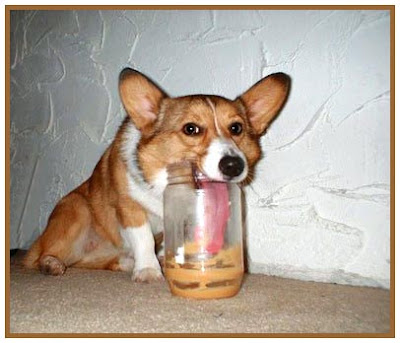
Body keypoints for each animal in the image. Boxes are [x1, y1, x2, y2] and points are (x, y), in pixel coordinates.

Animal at [23, 68, 290, 284]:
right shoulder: (129, 208)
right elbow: (144, 239)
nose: (234, 166)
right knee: (41, 258)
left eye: (236, 128)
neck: (166, 186)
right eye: (191, 129)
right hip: (76, 210)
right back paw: (52, 264)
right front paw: (149, 270)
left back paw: (128, 262)